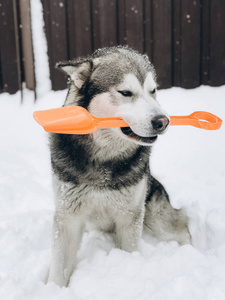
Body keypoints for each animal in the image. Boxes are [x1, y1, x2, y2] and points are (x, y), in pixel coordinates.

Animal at [47, 45, 192, 288]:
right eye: (125, 92)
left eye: (153, 91)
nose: (163, 121)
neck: (103, 159)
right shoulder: (68, 218)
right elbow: (58, 270)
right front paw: (53, 289)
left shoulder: (129, 217)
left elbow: (129, 251)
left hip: (155, 218)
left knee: (182, 226)